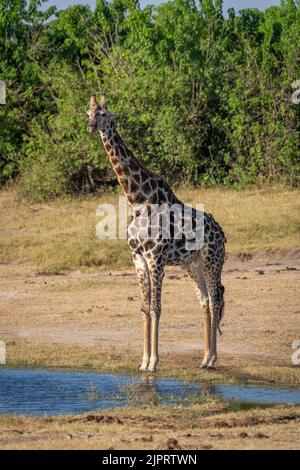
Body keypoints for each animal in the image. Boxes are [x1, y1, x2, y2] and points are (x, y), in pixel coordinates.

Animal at [88, 94, 226, 370]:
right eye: (88, 112)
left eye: (104, 114)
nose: (90, 126)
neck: (137, 201)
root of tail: (223, 235)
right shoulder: (138, 258)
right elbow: (144, 307)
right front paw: (143, 362)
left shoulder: (156, 259)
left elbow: (156, 308)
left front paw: (153, 362)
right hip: (192, 265)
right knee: (205, 301)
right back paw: (204, 358)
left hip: (212, 262)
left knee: (216, 299)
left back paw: (213, 359)